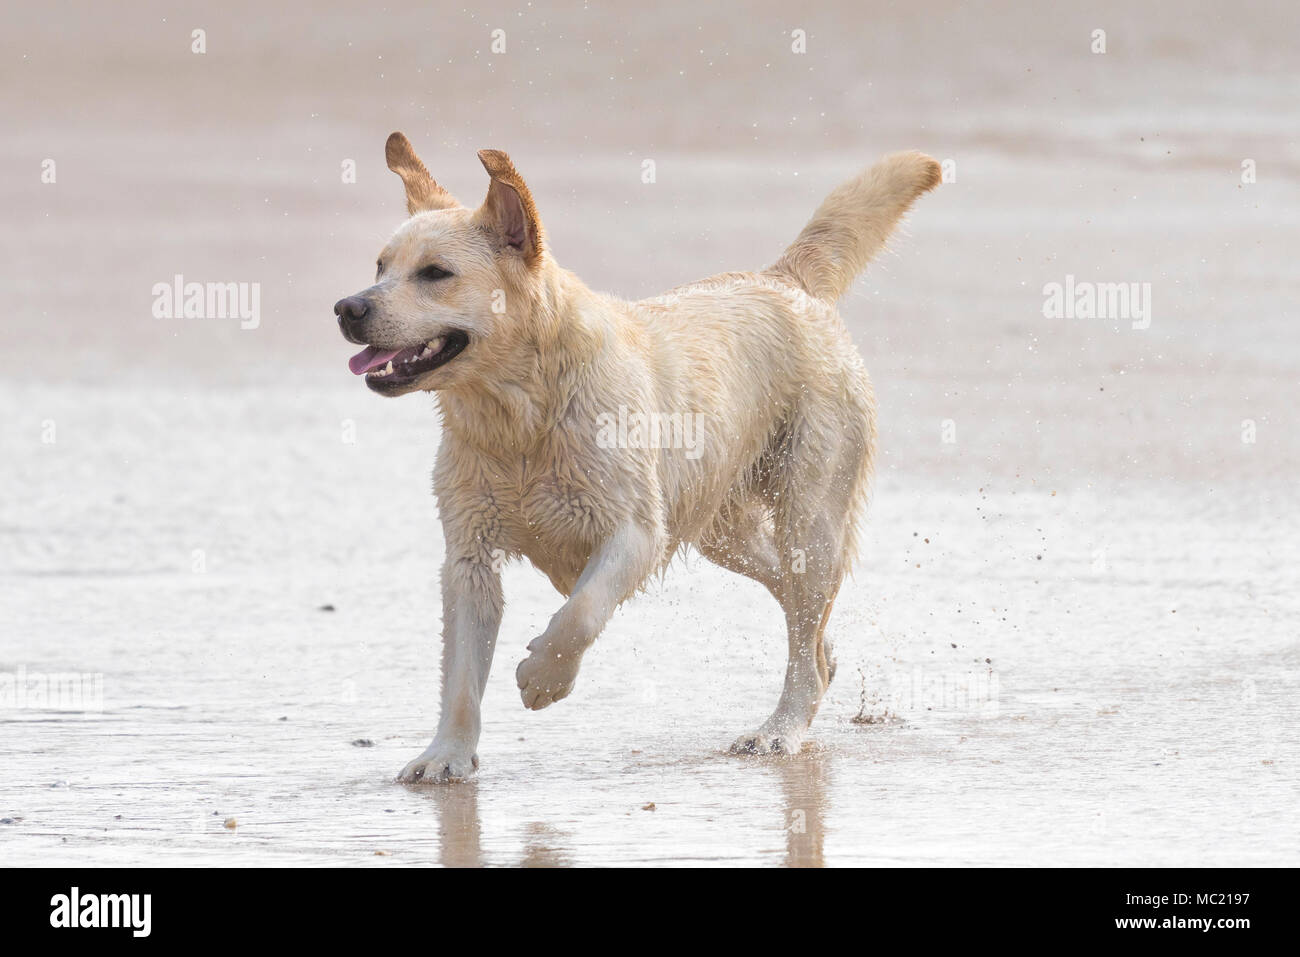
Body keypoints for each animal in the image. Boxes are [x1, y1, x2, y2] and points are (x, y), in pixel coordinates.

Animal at [335, 134, 941, 780]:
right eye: (380, 267)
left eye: (435, 273)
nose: (347, 308)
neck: (522, 420)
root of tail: (785, 279)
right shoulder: (469, 557)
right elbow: (461, 677)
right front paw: (445, 756)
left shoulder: (636, 533)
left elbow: (580, 613)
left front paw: (541, 678)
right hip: (721, 530)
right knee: (801, 609)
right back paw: (823, 658)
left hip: (810, 517)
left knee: (803, 620)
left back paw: (780, 729)